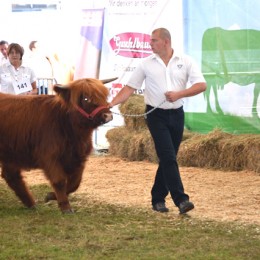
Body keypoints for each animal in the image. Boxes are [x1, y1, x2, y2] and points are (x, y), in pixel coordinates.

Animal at [0, 77, 114, 213]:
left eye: (104, 95)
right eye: (86, 98)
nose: (108, 116)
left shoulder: (78, 158)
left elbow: (75, 183)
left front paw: (51, 196)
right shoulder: (49, 156)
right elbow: (59, 181)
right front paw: (65, 207)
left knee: (11, 176)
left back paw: (31, 204)